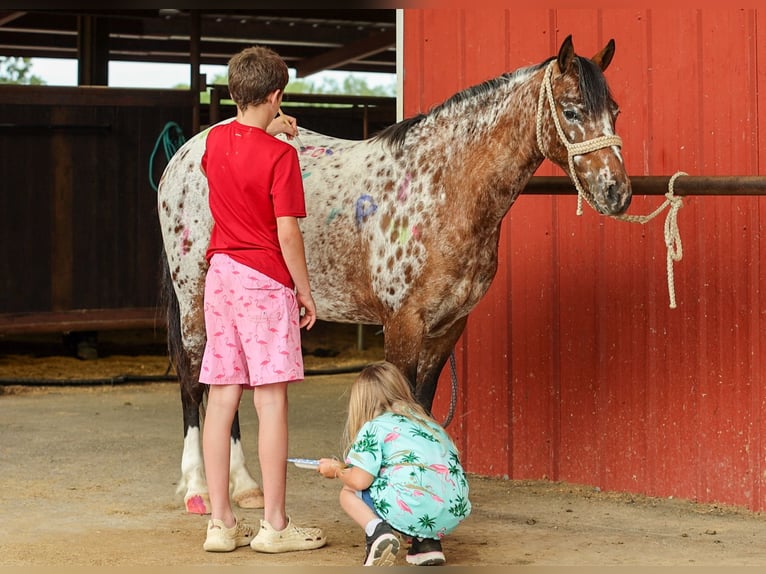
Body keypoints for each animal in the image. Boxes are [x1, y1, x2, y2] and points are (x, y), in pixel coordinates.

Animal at [157, 35, 631, 514]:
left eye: (614, 111)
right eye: (571, 111)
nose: (618, 193)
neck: (442, 188)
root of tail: (185, 154)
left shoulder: (448, 327)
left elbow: (422, 403)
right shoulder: (403, 324)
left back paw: (244, 485)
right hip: (193, 297)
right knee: (192, 381)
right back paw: (198, 488)